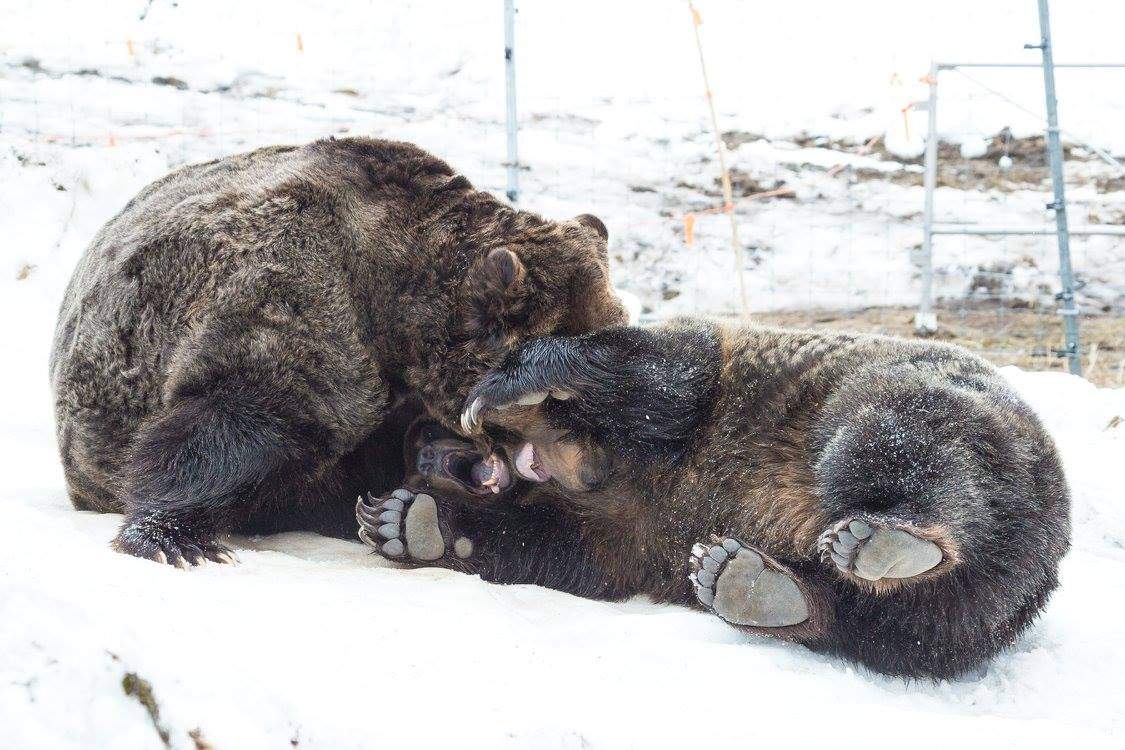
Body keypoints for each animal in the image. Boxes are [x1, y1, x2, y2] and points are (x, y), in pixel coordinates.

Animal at [356, 319, 1071, 679]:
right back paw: (752, 582)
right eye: (414, 449)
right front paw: (405, 519)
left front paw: (510, 384)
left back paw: (889, 537)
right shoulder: (620, 527)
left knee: (901, 446)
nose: (434, 456)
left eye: (433, 433)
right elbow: (557, 549)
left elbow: (656, 379)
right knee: (885, 623)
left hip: (907, 402)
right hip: (969, 613)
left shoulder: (688, 399)